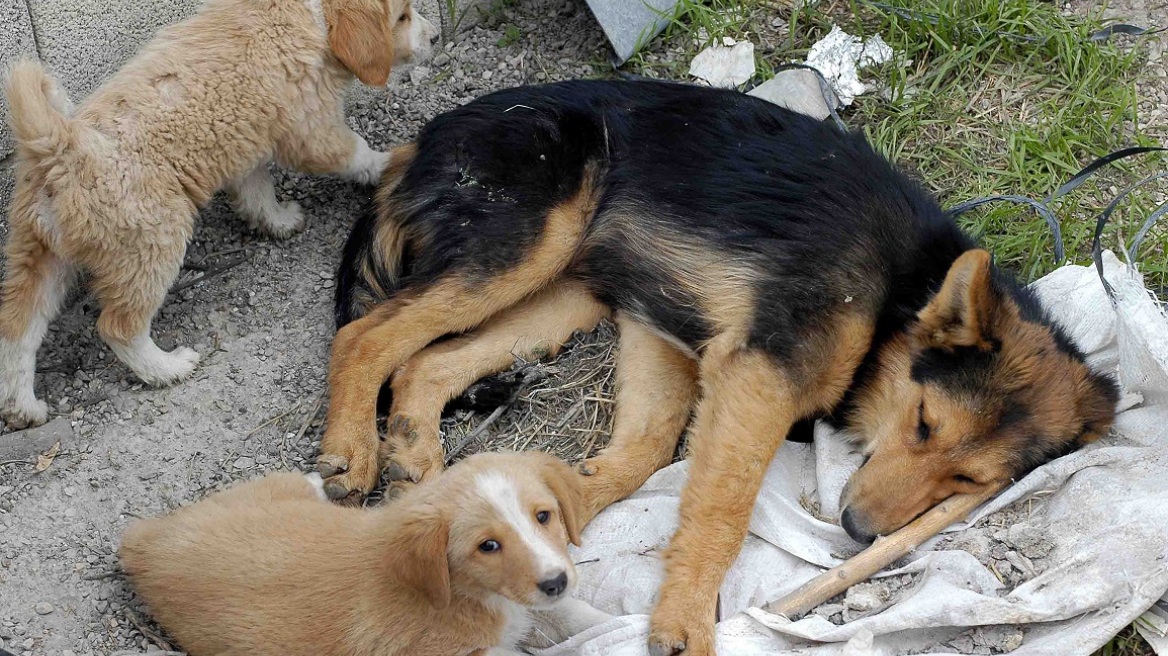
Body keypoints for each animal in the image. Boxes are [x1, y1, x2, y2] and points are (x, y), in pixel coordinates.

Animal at [0, 0, 439, 427]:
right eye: (402, 16)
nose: (436, 36)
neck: (305, 15)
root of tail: (59, 148)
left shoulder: (247, 145)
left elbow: (257, 192)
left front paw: (279, 220)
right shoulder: (314, 131)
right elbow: (356, 153)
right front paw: (392, 161)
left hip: (40, 260)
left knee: (17, 332)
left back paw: (23, 409)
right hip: (151, 246)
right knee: (119, 328)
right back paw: (167, 368)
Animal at [118, 448, 612, 653]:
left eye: (543, 516)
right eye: (487, 545)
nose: (556, 581)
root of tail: (144, 537)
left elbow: (573, 616)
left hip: (265, 490)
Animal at [315, 80, 1116, 653]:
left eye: (969, 482)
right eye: (922, 423)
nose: (857, 533)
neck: (901, 294)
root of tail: (417, 141)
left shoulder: (655, 327)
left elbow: (643, 450)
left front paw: (566, 504)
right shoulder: (759, 372)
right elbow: (724, 504)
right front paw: (686, 619)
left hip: (567, 292)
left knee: (423, 363)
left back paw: (417, 456)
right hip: (533, 239)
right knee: (363, 336)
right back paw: (352, 452)